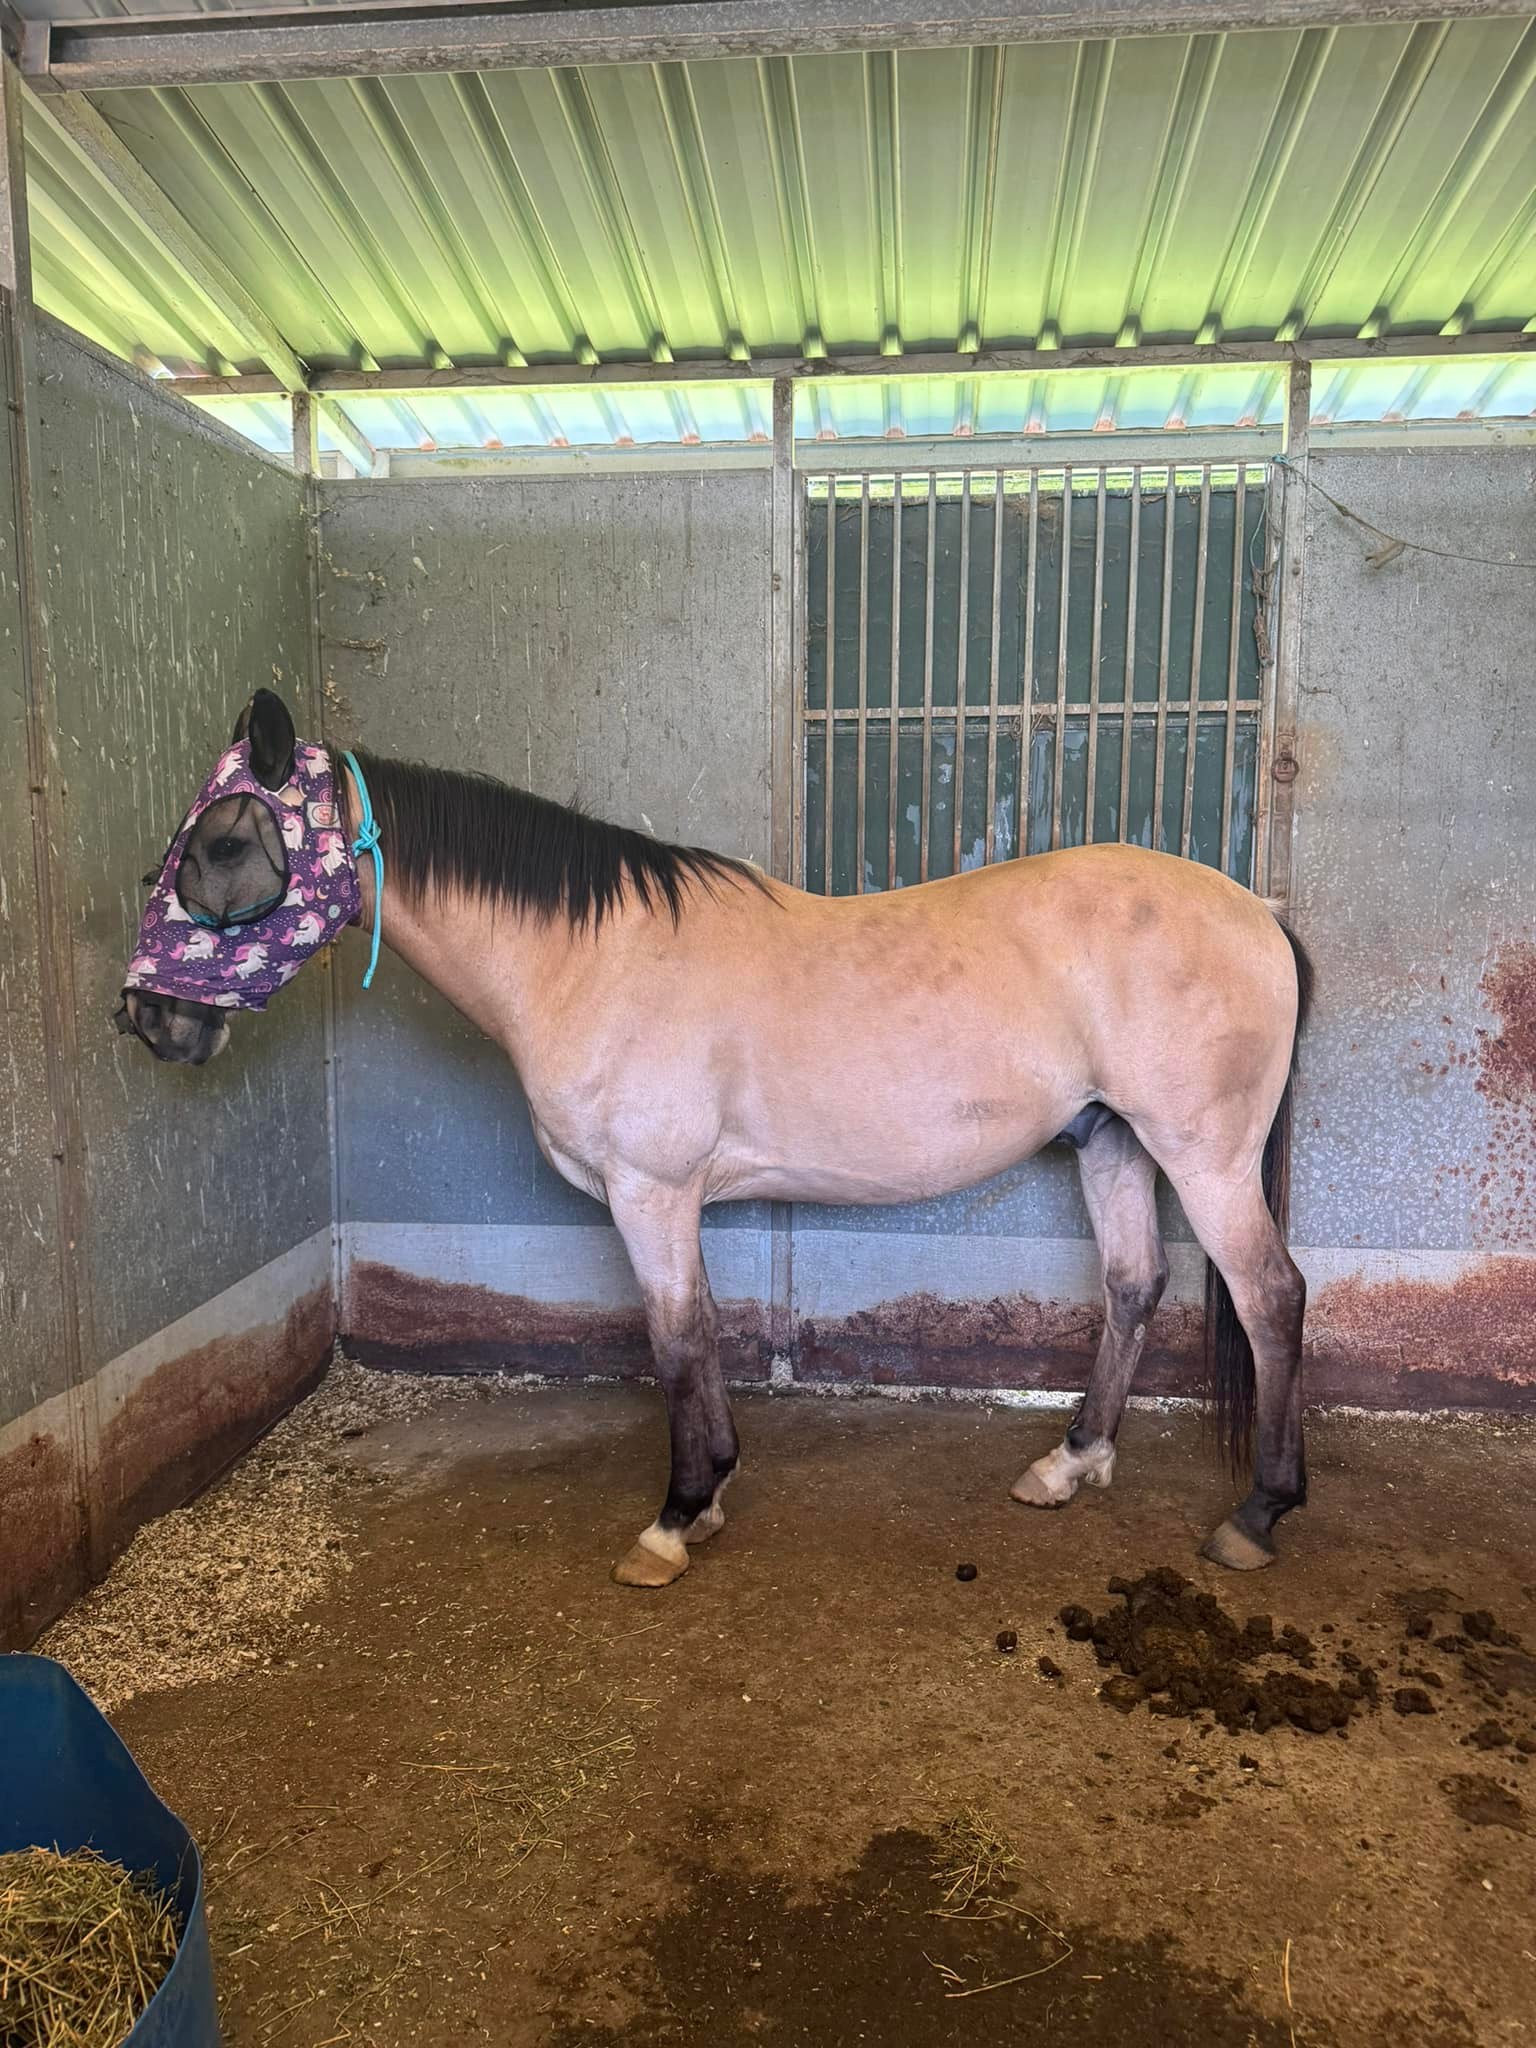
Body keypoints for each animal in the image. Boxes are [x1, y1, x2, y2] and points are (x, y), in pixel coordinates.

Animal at [119, 689, 1313, 1589]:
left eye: (222, 842)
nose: (146, 1019)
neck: (586, 957)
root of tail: (1255, 911)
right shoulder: (673, 1195)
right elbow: (698, 1330)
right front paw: (713, 1494)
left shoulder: (647, 1189)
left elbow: (673, 1341)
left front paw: (672, 1518)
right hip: (1111, 1141)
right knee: (1134, 1284)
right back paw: (1070, 1465)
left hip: (1201, 1156)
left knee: (1271, 1296)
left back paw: (1257, 1514)